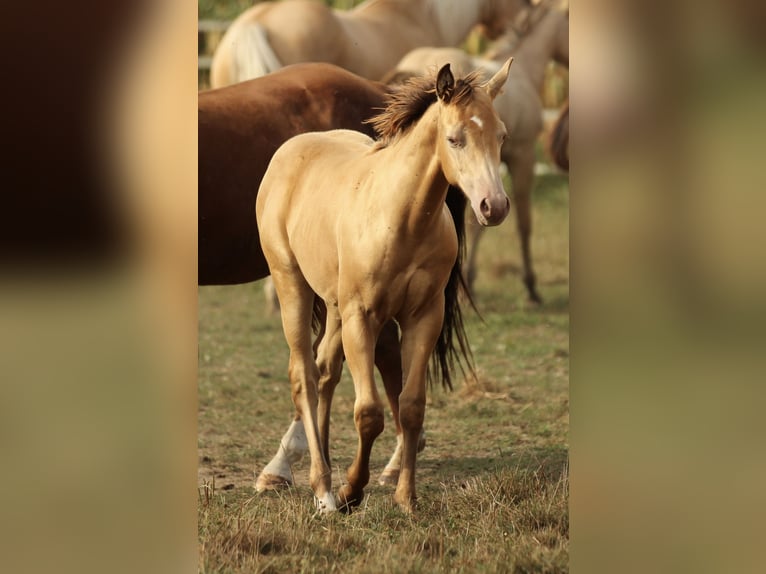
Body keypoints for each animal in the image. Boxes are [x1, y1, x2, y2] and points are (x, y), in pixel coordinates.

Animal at [256, 59, 514, 513]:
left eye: (501, 135)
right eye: (454, 138)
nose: (494, 206)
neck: (402, 218)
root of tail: (289, 152)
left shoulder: (424, 316)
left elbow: (410, 406)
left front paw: (406, 497)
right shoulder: (364, 316)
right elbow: (369, 412)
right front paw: (351, 491)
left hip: (335, 306)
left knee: (326, 372)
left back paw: (325, 475)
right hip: (293, 285)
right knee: (304, 375)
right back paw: (323, 488)